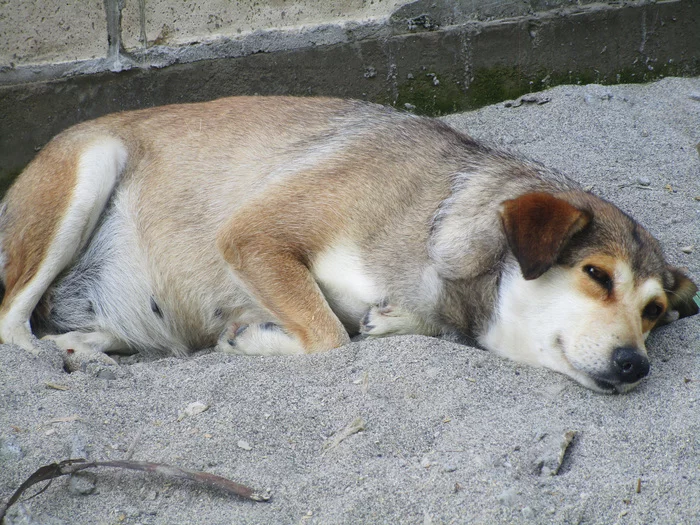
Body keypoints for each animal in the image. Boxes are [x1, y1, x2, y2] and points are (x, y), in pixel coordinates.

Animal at [0, 96, 696, 390]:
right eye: (596, 274)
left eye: (655, 311)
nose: (636, 365)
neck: (436, 221)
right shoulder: (255, 235)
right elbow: (330, 337)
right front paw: (254, 339)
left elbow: (358, 329)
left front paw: (387, 323)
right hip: (90, 167)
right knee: (11, 324)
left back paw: (80, 349)